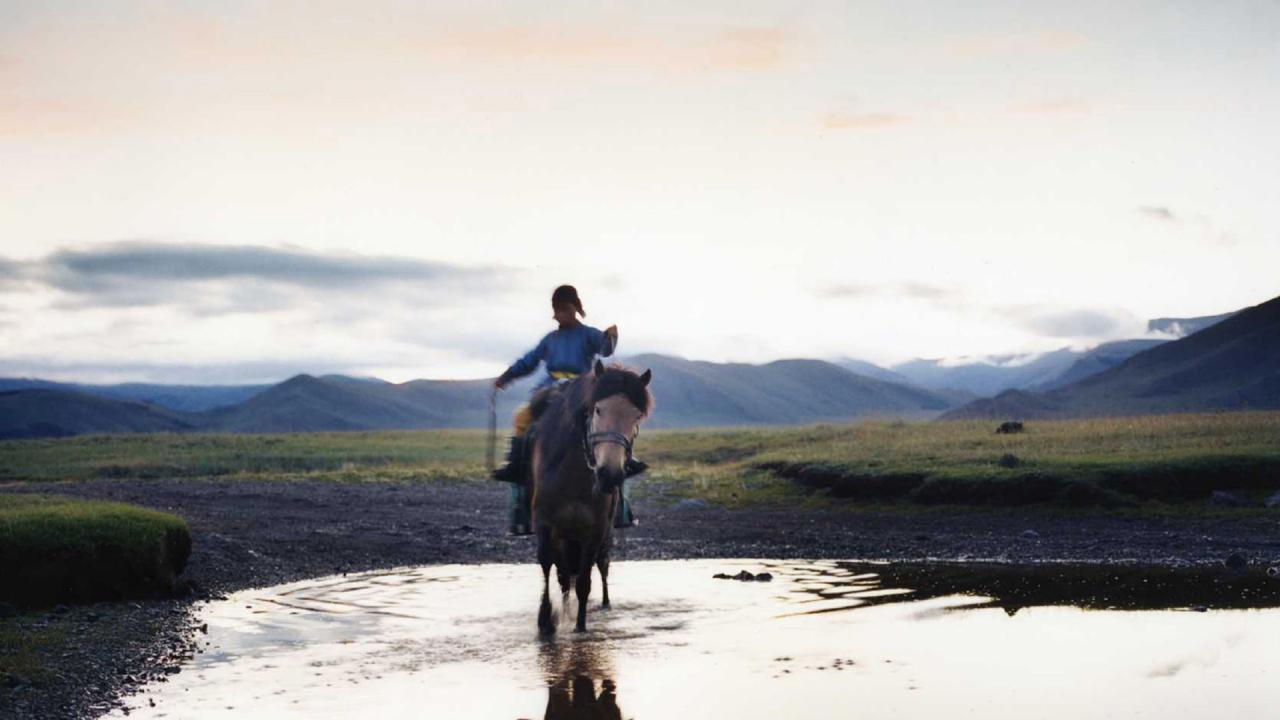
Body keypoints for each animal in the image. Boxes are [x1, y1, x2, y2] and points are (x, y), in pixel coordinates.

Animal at [529, 356, 655, 630]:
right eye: (598, 410)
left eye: (637, 416)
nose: (610, 474)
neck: (572, 477)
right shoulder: (545, 524)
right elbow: (547, 565)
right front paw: (546, 619)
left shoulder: (594, 531)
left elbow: (584, 582)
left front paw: (580, 627)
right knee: (563, 574)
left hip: (601, 538)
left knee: (601, 566)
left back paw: (605, 605)